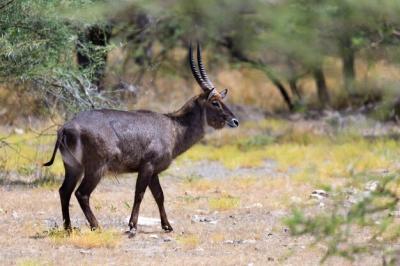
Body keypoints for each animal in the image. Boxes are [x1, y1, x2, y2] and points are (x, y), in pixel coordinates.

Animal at [43, 42, 238, 236]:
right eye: (215, 102)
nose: (235, 121)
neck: (173, 126)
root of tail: (66, 127)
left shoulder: (154, 172)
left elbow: (159, 196)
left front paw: (167, 226)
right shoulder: (147, 167)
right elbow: (139, 194)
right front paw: (132, 226)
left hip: (73, 167)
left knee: (64, 191)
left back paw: (68, 228)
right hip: (95, 168)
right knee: (81, 194)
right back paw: (96, 226)